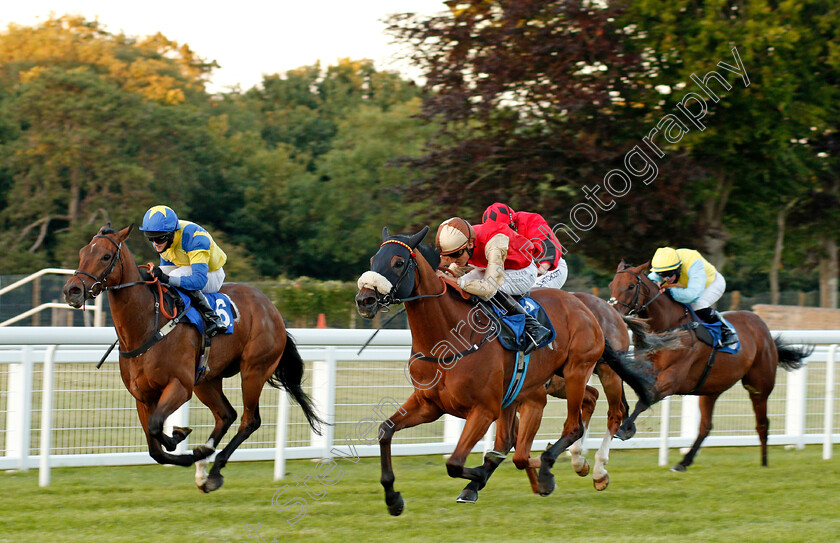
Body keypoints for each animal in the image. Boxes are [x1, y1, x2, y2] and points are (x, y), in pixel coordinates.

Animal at [62, 225, 324, 492]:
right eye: (82, 253)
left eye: (105, 256)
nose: (72, 290)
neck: (146, 326)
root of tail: (272, 309)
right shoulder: (142, 396)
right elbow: (155, 448)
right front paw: (187, 447)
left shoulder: (180, 386)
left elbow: (157, 426)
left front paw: (181, 439)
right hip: (206, 379)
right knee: (226, 415)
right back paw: (204, 465)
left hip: (254, 370)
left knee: (249, 420)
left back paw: (215, 469)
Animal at [356, 227, 644, 516]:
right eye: (373, 260)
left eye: (398, 262)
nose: (364, 299)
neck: (447, 338)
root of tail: (588, 307)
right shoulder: (429, 404)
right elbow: (385, 430)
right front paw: (393, 498)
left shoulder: (485, 409)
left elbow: (457, 463)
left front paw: (485, 477)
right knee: (582, 407)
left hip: (581, 370)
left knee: (586, 422)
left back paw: (579, 469)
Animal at [608, 262, 812, 470]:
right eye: (611, 285)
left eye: (631, 286)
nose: (614, 313)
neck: (667, 327)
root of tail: (764, 328)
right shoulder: (645, 370)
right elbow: (627, 384)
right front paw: (623, 417)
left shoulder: (671, 380)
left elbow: (645, 398)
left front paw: (625, 428)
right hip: (710, 389)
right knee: (706, 426)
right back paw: (684, 462)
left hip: (759, 386)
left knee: (762, 423)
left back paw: (764, 465)